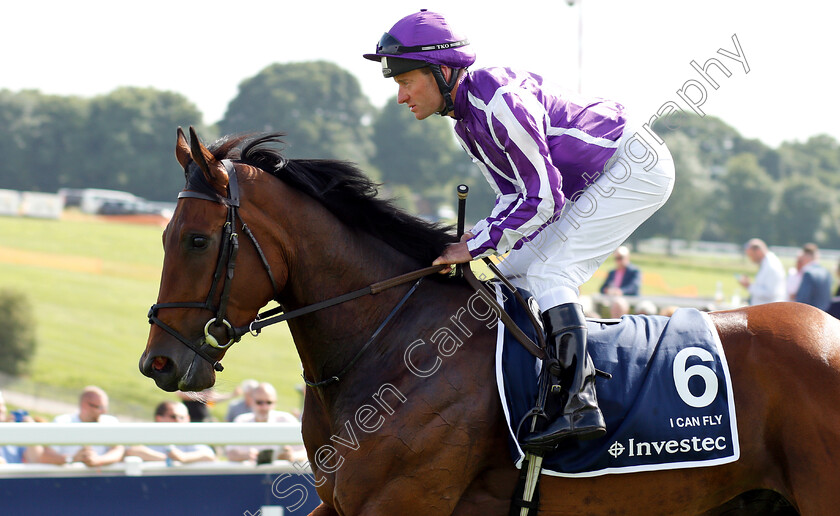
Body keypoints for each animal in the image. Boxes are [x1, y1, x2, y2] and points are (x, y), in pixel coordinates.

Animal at [141, 127, 840, 512]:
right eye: (164, 234)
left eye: (198, 240)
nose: (160, 362)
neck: (396, 344)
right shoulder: (341, 503)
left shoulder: (399, 501)